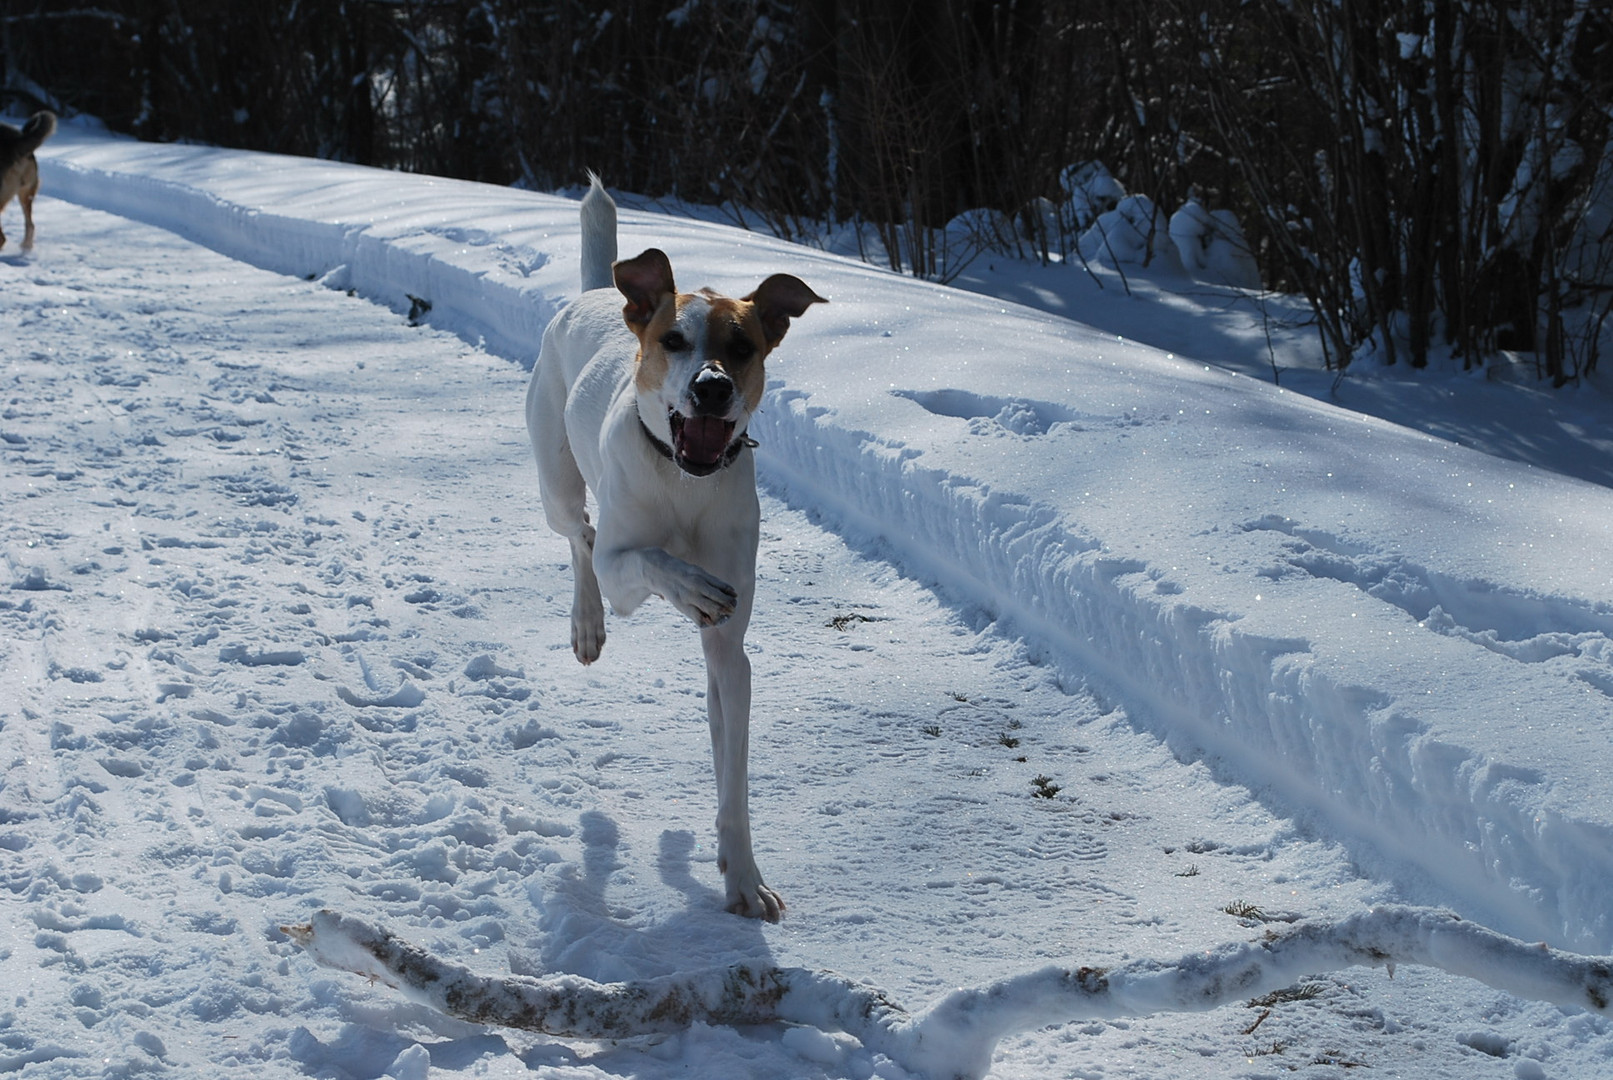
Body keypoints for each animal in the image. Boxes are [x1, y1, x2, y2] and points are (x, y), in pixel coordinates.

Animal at [529, 175, 825, 922]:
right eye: (675, 339)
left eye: (742, 346)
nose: (711, 386)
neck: (686, 483)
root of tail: (596, 294)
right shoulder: (629, 564)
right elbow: (641, 557)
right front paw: (687, 584)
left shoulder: (730, 654)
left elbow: (733, 779)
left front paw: (742, 877)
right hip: (554, 477)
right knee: (580, 537)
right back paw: (587, 623)